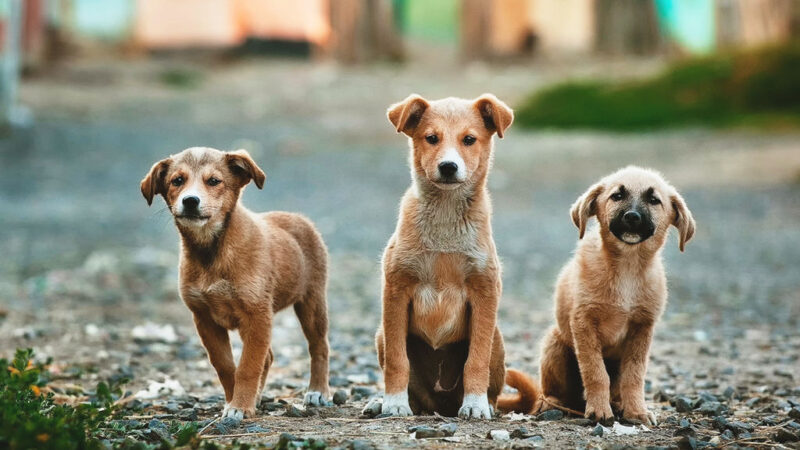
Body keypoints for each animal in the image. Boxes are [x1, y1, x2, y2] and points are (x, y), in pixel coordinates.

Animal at [141, 149, 332, 422]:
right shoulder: (204, 318)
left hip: (312, 302)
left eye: (214, 181)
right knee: (269, 357)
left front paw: (240, 406)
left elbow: (248, 366)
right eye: (177, 180)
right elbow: (226, 366)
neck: (212, 252)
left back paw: (318, 391)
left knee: (319, 346)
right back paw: (259, 396)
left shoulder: (257, 315)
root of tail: (298, 218)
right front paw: (236, 401)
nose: (190, 201)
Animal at [374, 92, 512, 418]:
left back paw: (484, 404)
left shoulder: (485, 292)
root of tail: (440, 405)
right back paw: (381, 403)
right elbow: (397, 361)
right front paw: (394, 403)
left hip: (497, 339)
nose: (448, 166)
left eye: (469, 139)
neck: (446, 221)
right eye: (431, 138)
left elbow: (476, 360)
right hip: (380, 334)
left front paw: (475, 404)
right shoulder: (396, 290)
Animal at [500, 166, 692, 426]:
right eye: (617, 196)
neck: (627, 267)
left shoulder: (642, 328)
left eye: (654, 200)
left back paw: (618, 404)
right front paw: (600, 411)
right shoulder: (584, 323)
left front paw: (636, 411)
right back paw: (553, 404)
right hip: (554, 344)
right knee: (553, 392)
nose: (632, 217)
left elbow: (634, 375)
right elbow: (595, 372)